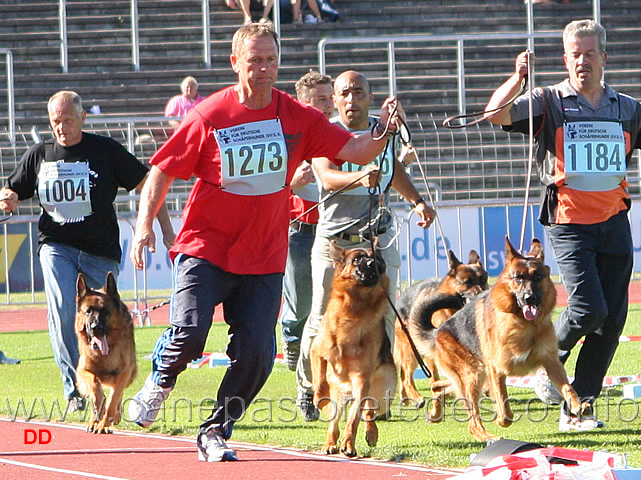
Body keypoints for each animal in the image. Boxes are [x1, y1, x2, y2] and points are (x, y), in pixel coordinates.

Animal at [74, 272, 136, 434]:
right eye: (88, 311)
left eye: (105, 311)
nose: (96, 328)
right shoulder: (82, 370)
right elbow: (95, 386)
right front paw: (98, 413)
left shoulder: (124, 373)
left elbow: (114, 399)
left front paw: (105, 423)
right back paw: (93, 420)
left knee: (118, 396)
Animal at [308, 240, 396, 458]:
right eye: (358, 259)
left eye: (378, 258)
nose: (374, 263)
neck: (356, 308)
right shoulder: (316, 351)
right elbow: (319, 380)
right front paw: (319, 398)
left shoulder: (361, 378)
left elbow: (354, 417)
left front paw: (349, 444)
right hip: (340, 393)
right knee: (334, 420)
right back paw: (330, 443)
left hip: (385, 388)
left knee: (368, 410)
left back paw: (370, 433)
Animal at [392, 251, 488, 404]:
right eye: (467, 282)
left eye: (483, 279)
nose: (481, 295)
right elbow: (435, 378)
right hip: (411, 350)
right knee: (407, 376)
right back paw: (417, 397)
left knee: (403, 374)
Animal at [410, 239, 592, 442]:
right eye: (518, 278)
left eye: (537, 277)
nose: (530, 298)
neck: (523, 324)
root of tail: (438, 332)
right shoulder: (497, 370)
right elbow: (504, 409)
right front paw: (499, 419)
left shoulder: (551, 361)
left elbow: (568, 388)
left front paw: (578, 406)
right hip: (473, 375)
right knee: (472, 420)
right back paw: (488, 436)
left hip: (475, 375)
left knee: (440, 387)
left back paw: (435, 409)